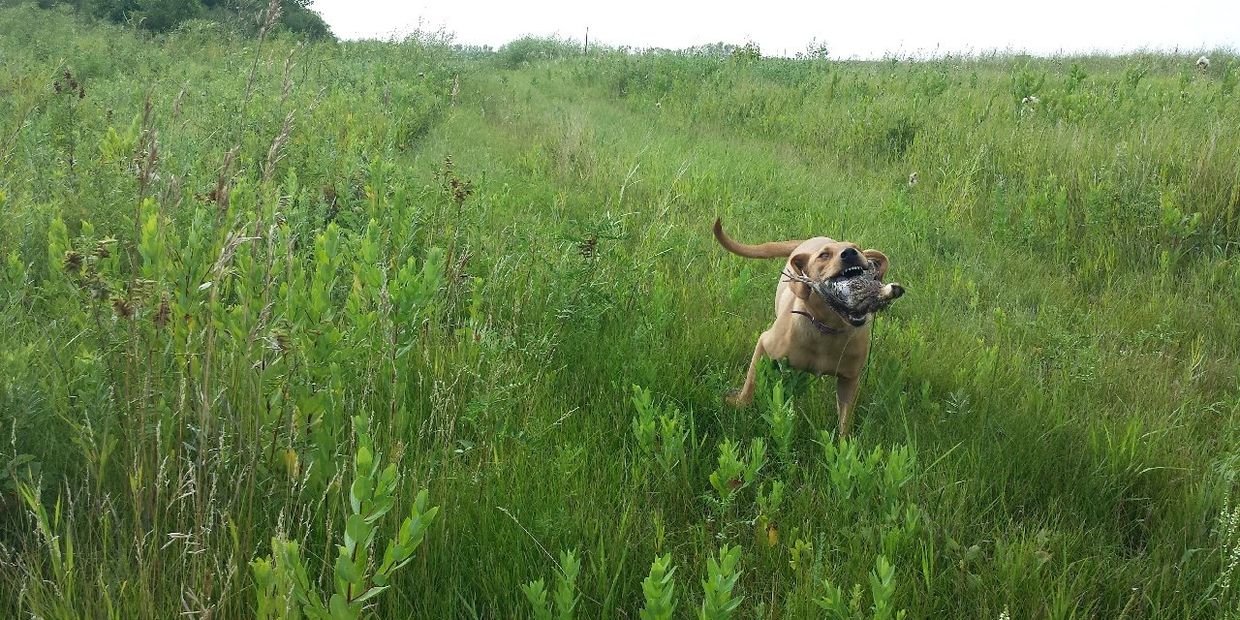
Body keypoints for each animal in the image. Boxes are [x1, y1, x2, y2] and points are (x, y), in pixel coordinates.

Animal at [714, 218, 907, 436]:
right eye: (824, 255)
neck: (827, 329)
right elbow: (751, 383)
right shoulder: (764, 343)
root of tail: (810, 241)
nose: (850, 253)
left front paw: (844, 443)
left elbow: (844, 422)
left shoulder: (849, 380)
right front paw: (739, 403)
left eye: (857, 248)